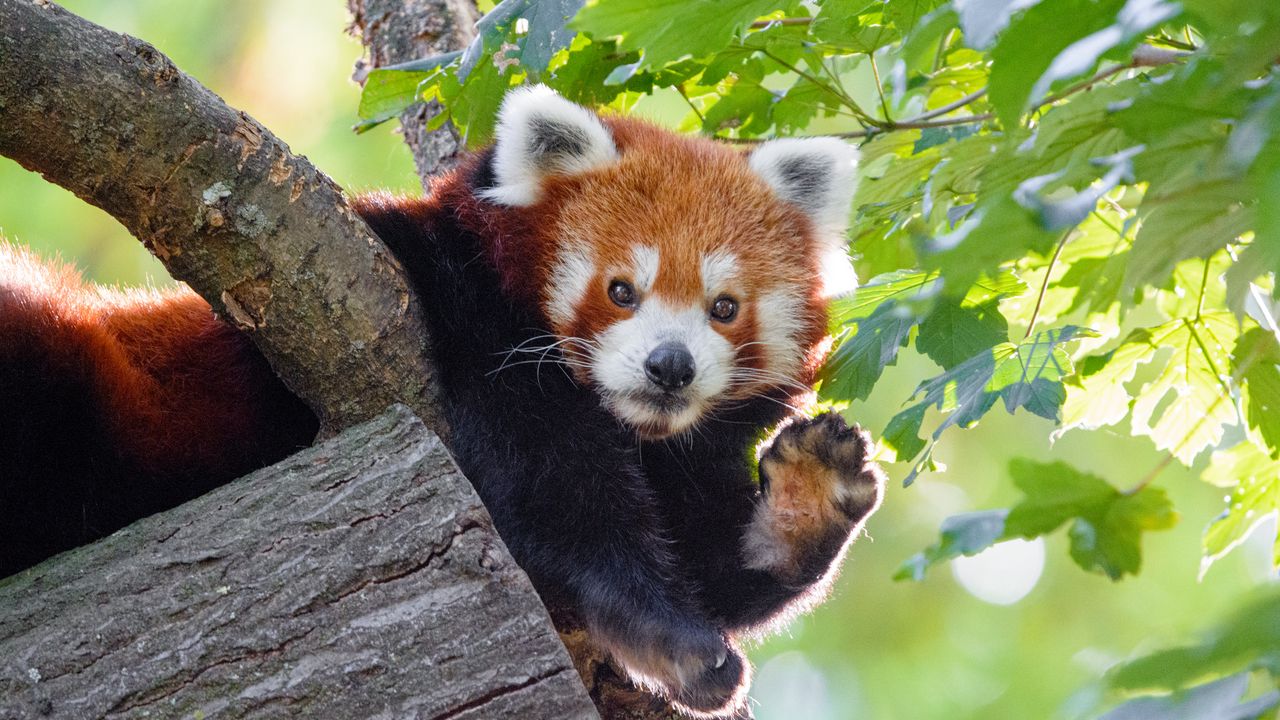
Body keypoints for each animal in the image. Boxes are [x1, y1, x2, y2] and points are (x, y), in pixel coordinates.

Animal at [0, 87, 880, 712]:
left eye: (724, 308)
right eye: (621, 291)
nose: (670, 367)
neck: (633, 427)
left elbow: (706, 555)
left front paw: (806, 503)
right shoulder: (462, 314)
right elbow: (557, 493)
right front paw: (664, 636)